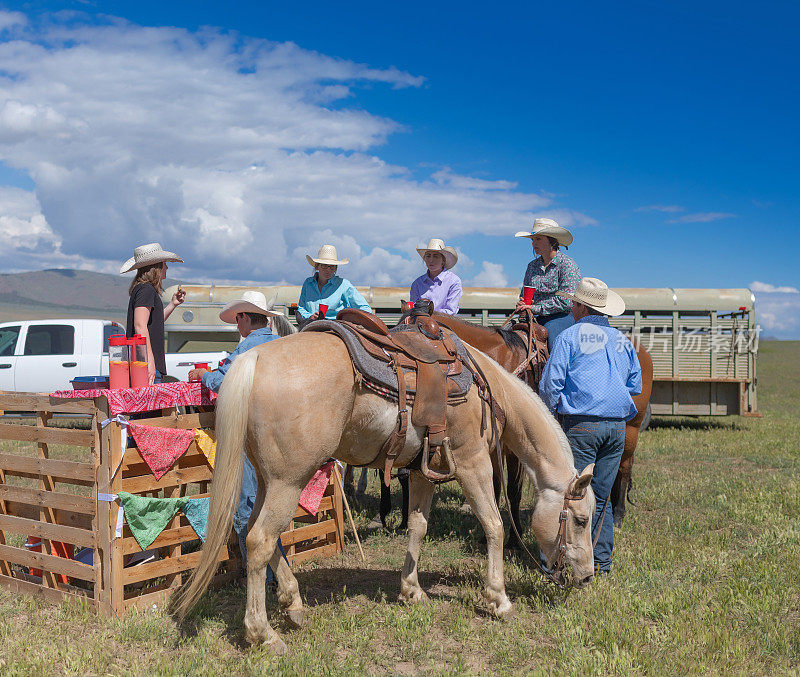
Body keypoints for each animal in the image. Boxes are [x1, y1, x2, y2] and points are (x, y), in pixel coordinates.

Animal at [177, 330, 600, 652]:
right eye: (580, 520)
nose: (587, 579)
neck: (486, 391)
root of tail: (254, 360)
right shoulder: (472, 462)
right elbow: (494, 525)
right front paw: (499, 598)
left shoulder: (424, 472)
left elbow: (418, 527)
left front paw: (412, 590)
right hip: (289, 481)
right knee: (260, 540)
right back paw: (263, 634)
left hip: (272, 480)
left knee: (257, 533)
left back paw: (293, 603)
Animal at [428, 310, 652, 528]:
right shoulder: (493, 446)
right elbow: (495, 486)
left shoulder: (515, 448)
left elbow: (513, 490)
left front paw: (514, 536)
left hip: (632, 429)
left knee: (624, 467)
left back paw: (619, 514)